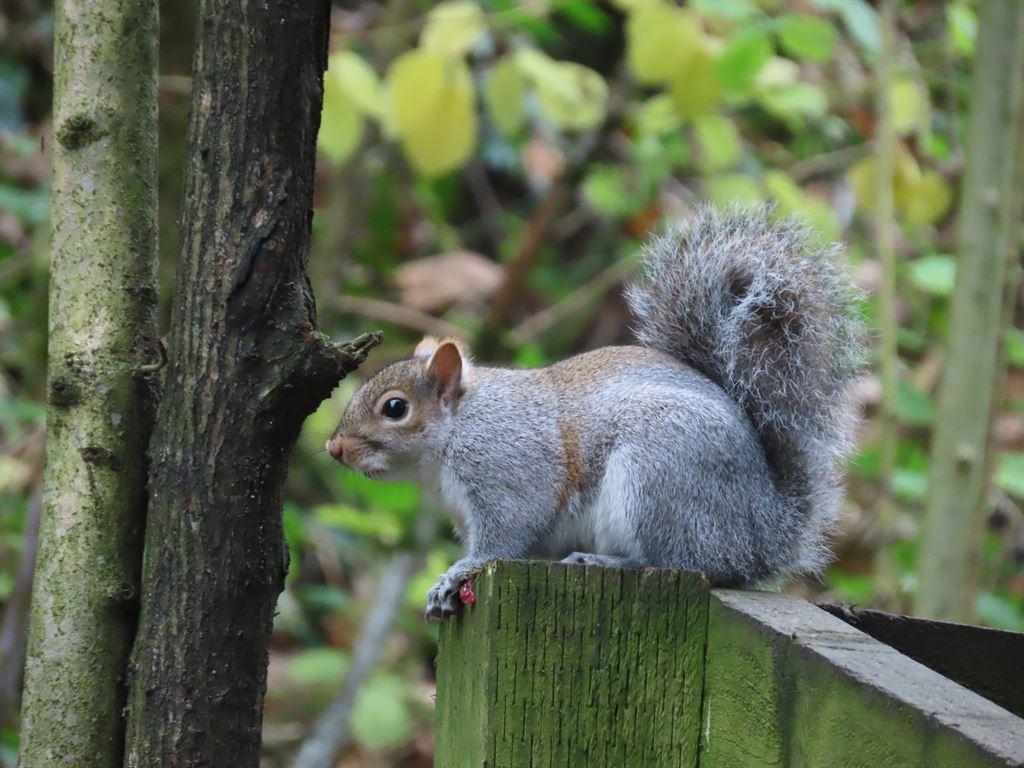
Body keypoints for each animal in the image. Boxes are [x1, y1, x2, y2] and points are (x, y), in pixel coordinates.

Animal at [327, 206, 864, 618]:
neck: (456, 432)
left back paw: (607, 562)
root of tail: (763, 528)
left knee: (690, 563)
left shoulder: (508, 469)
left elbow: (506, 536)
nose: (334, 448)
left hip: (659, 475)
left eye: (395, 408)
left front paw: (455, 573)